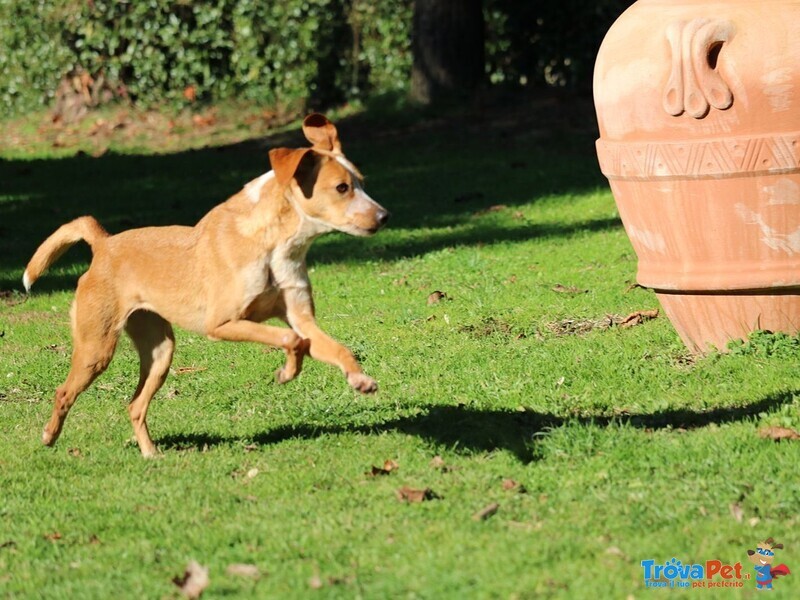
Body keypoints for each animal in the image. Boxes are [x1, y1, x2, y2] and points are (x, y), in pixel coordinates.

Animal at [23, 112, 390, 458]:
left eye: (362, 182)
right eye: (342, 188)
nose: (384, 216)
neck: (274, 244)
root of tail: (104, 243)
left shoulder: (302, 318)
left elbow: (329, 346)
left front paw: (358, 378)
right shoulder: (223, 323)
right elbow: (291, 339)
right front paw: (287, 372)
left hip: (160, 352)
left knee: (135, 405)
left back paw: (150, 452)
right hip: (96, 350)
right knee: (64, 392)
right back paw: (49, 436)